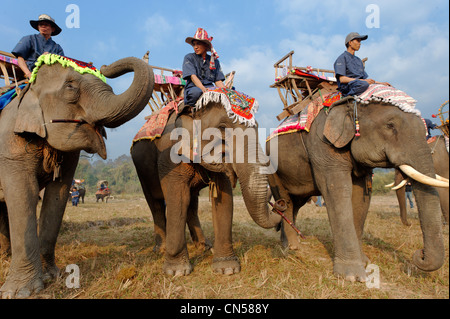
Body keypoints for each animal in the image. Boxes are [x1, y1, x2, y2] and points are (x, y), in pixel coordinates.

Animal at [0, 55, 155, 300]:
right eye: (71, 87)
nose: (104, 66)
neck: (29, 91)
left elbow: (58, 194)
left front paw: (51, 276)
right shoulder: (10, 144)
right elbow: (23, 195)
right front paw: (20, 292)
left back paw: (5, 256)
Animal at [129, 98, 278, 278]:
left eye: (256, 126)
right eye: (222, 127)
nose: (278, 204)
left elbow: (223, 198)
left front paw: (227, 269)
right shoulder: (170, 156)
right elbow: (177, 198)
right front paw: (177, 272)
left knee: (191, 203)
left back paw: (204, 246)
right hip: (141, 171)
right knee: (156, 203)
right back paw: (161, 249)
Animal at [266, 97, 448, 282]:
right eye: (390, 126)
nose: (420, 254)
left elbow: (361, 197)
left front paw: (365, 262)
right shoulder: (323, 144)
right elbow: (336, 190)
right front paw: (353, 277)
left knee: (295, 203)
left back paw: (289, 243)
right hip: (272, 167)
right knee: (286, 200)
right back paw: (292, 248)